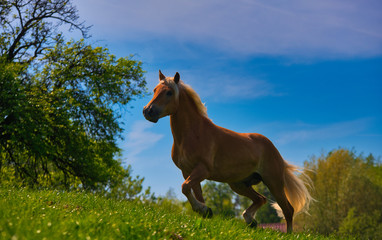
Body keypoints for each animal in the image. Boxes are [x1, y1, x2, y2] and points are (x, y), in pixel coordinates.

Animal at [142, 70, 312, 232]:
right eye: (155, 90)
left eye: (169, 92)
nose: (148, 111)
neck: (192, 134)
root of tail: (274, 149)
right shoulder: (188, 172)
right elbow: (194, 192)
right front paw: (205, 212)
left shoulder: (202, 170)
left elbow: (185, 187)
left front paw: (203, 209)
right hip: (239, 184)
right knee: (261, 199)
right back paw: (250, 220)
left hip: (273, 182)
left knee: (288, 210)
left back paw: (286, 232)